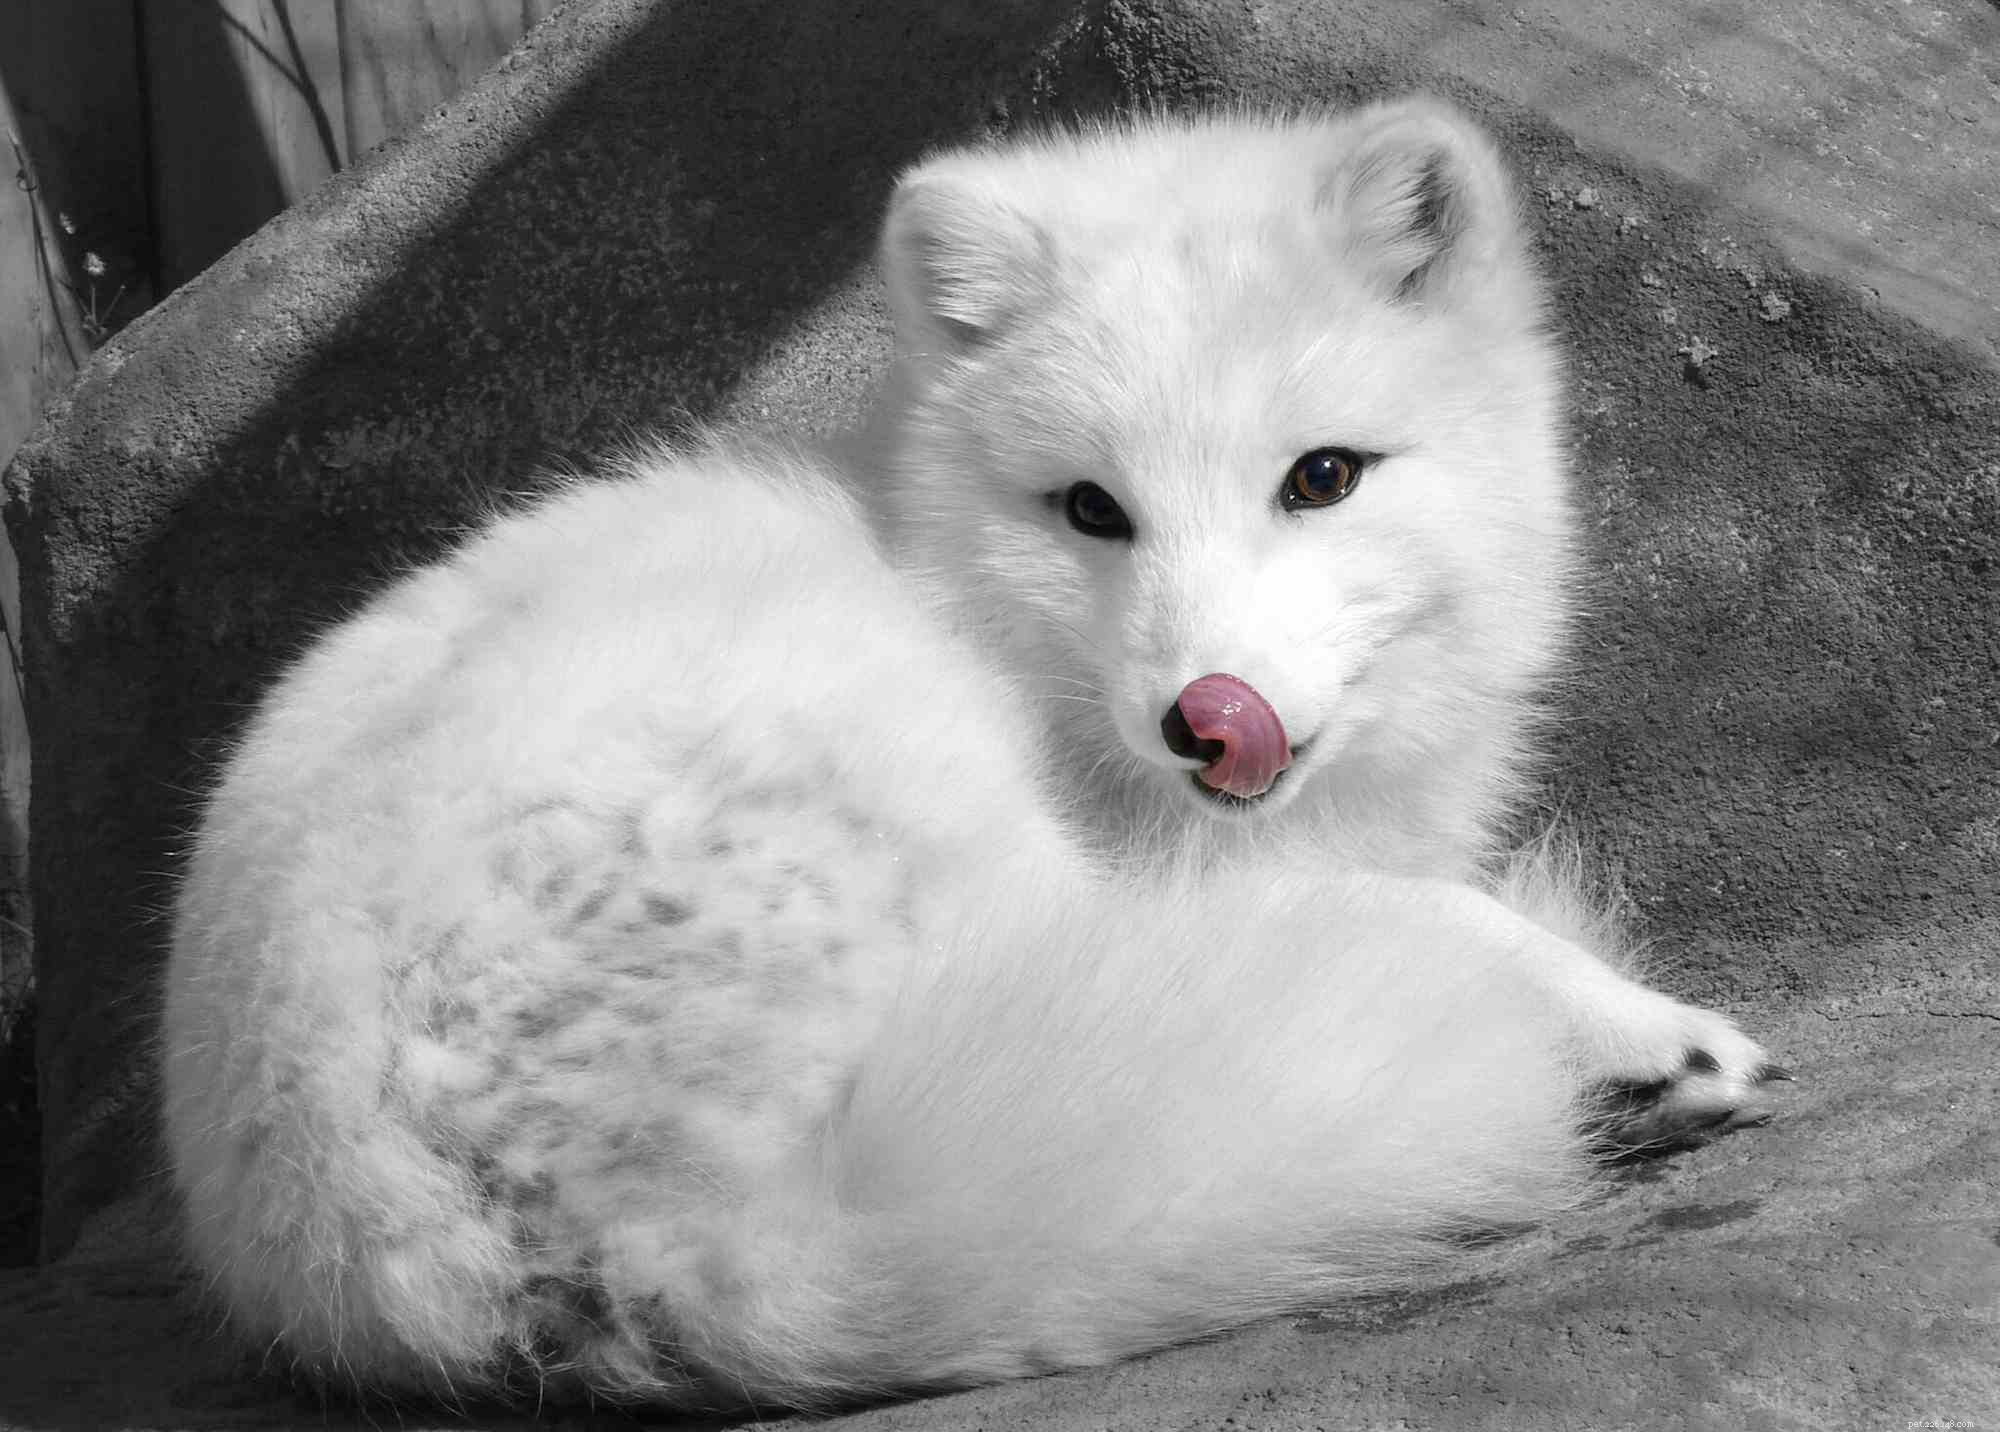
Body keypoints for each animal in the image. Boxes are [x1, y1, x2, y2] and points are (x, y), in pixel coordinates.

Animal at [160, 98, 1784, 1413]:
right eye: (1091, 511)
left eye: (1323, 478)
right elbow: (1439, 911)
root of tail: (628, 1252)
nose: (1208, 715)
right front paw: (1637, 1021)